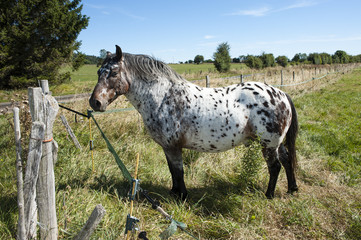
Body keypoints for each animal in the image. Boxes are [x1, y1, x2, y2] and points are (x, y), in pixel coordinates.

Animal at [90, 46, 298, 200]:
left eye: (114, 72)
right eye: (99, 71)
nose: (95, 102)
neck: (163, 97)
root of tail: (281, 93)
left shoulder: (173, 146)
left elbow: (178, 171)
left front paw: (182, 196)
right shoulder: (167, 147)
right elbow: (172, 170)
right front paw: (174, 192)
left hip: (268, 144)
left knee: (275, 167)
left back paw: (269, 195)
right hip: (276, 143)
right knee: (287, 160)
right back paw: (292, 189)